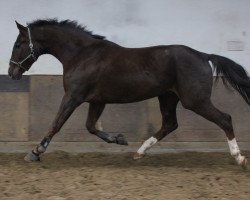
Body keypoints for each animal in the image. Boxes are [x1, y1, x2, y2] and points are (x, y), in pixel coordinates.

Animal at [8, 19, 249, 168]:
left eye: (19, 43)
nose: (12, 72)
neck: (82, 55)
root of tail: (203, 55)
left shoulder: (73, 97)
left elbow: (56, 124)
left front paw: (35, 152)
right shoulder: (97, 100)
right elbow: (91, 126)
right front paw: (119, 139)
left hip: (194, 100)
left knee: (225, 119)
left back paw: (239, 158)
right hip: (168, 97)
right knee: (169, 124)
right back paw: (139, 152)